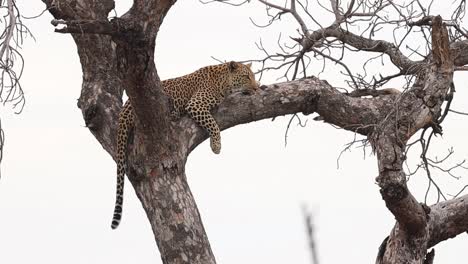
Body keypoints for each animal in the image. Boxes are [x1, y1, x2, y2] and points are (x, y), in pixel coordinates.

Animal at [113, 60, 260, 228]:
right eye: (246, 77)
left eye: (253, 76)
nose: (256, 88)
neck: (223, 82)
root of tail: (125, 107)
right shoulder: (195, 104)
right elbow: (213, 124)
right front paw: (216, 146)